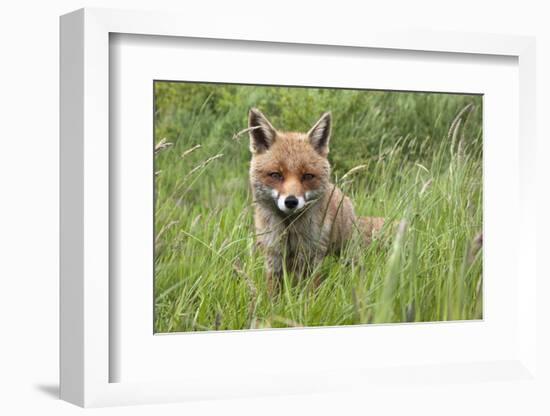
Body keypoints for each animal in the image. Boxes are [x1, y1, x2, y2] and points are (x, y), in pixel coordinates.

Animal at [249, 108, 384, 290]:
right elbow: (273, 295)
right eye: (276, 175)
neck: (290, 229)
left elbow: (311, 293)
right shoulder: (273, 258)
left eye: (307, 176)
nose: (291, 201)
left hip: (347, 253)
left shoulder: (311, 258)